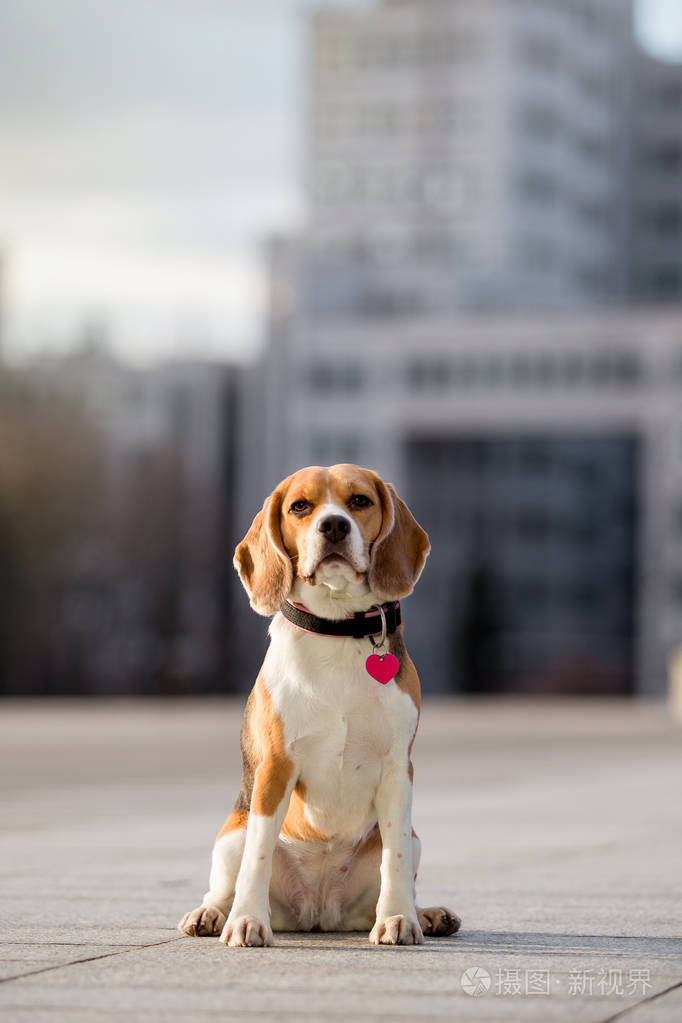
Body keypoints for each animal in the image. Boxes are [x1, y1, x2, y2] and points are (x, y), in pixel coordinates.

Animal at [178, 464, 462, 941]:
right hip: (232, 834)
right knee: (225, 882)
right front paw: (247, 921)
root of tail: (319, 912)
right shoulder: (275, 767)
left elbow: (395, 861)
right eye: (300, 507)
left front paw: (399, 918)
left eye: (360, 501)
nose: (333, 525)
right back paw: (213, 915)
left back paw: (424, 913)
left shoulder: (397, 770)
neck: (336, 627)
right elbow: (257, 857)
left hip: (413, 838)